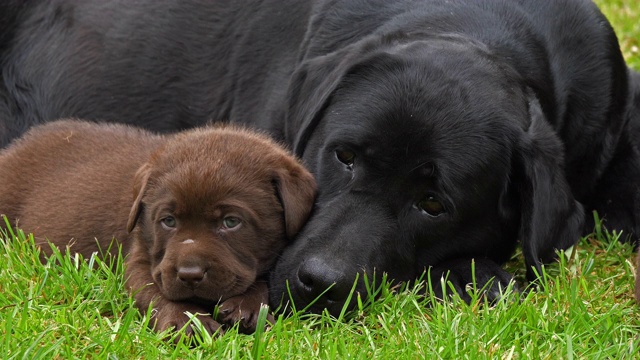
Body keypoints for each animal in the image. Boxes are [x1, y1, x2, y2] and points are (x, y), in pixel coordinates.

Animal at [0, 119, 316, 336]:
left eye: (231, 222)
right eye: (169, 221)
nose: (190, 274)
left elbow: (263, 280)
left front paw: (248, 306)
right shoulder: (141, 259)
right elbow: (153, 292)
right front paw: (187, 321)